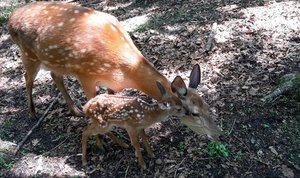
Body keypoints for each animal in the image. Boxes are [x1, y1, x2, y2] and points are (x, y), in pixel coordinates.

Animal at [8, 2, 220, 140]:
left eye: (208, 107)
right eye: (193, 113)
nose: (217, 134)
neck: (123, 71)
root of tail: (10, 19)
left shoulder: (111, 83)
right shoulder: (86, 75)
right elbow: (92, 105)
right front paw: (105, 141)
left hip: (54, 61)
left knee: (55, 76)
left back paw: (74, 110)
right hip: (28, 54)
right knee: (27, 77)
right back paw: (32, 112)